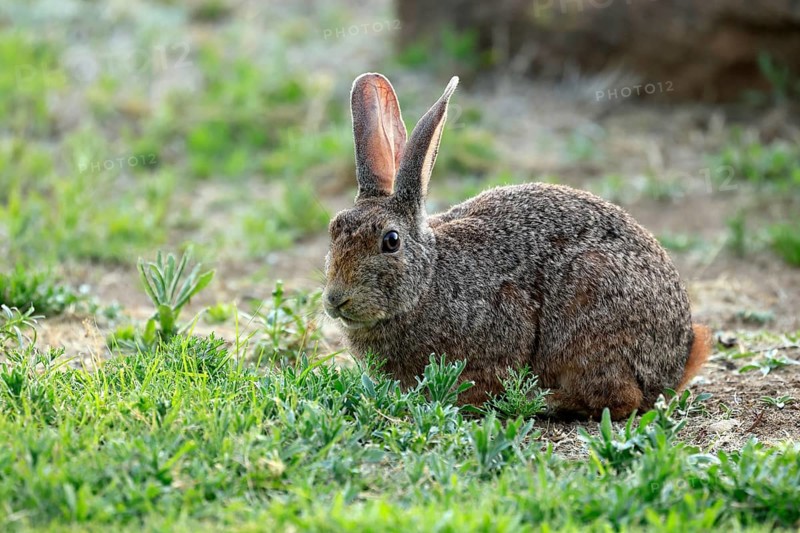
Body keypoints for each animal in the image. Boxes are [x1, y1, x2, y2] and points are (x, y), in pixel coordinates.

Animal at [322, 72, 711, 420]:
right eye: (333, 228)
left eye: (391, 241)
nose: (336, 299)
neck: (428, 281)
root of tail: (676, 361)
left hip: (590, 316)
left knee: (619, 399)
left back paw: (543, 401)